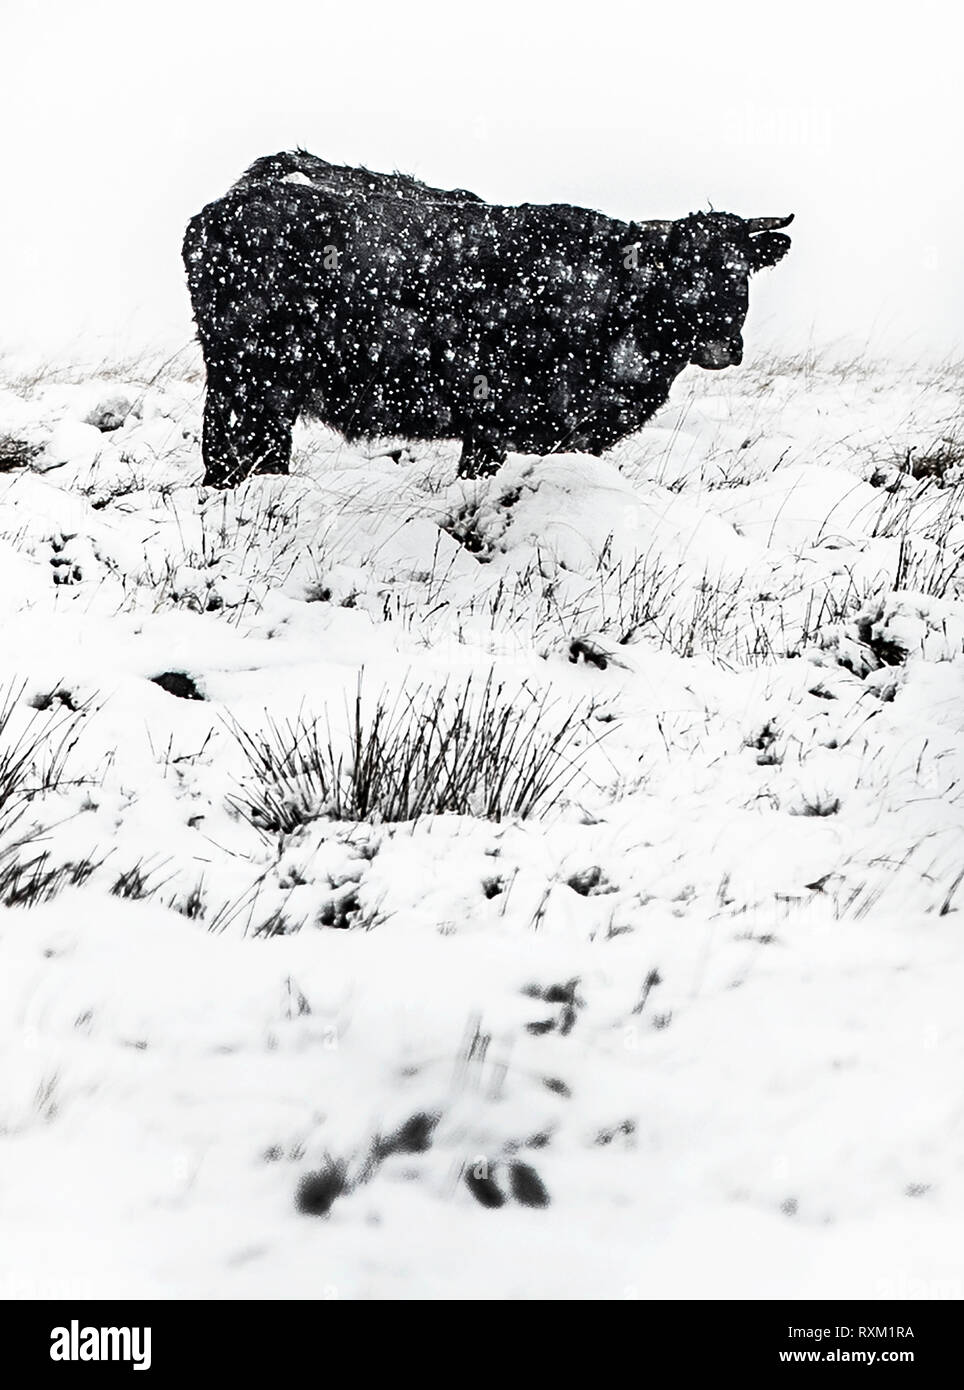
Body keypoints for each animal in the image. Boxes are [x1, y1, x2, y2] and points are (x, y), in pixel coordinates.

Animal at [183, 149, 792, 487]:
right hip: (254, 384)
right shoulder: (494, 423)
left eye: (742, 270)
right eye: (681, 268)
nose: (722, 345)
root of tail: (222, 209)